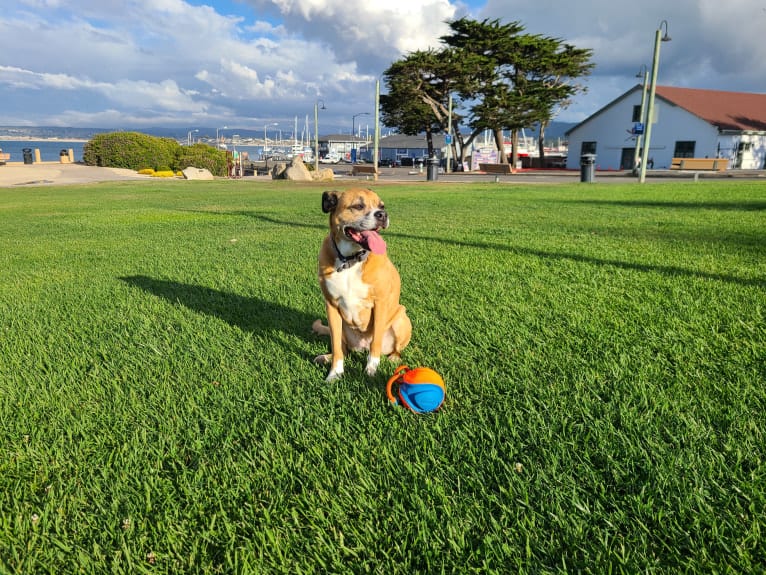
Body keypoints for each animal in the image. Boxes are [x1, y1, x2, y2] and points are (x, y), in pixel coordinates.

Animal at [312, 189, 412, 382]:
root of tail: (361, 346)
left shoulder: (379, 304)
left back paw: (393, 358)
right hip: (342, 327)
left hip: (401, 319)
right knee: (344, 349)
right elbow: (336, 347)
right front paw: (335, 373)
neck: (349, 261)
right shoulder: (331, 307)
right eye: (358, 206)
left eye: (382, 206)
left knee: (392, 348)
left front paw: (370, 371)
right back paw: (325, 357)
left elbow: (375, 345)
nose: (383, 215)